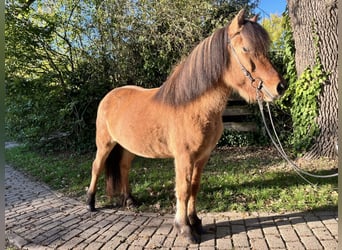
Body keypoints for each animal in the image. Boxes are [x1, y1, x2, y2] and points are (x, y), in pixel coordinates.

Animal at [86, 8, 286, 243]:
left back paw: (130, 200)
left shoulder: (202, 157)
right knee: (97, 166)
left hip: (127, 147)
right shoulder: (184, 157)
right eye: (246, 48)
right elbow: (183, 189)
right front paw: (185, 229)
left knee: (124, 167)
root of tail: (110, 96)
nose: (280, 87)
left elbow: (194, 188)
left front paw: (196, 222)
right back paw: (90, 202)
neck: (192, 106)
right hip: (105, 144)